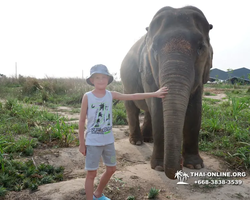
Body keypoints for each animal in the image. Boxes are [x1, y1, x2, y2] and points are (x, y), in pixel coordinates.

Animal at [119, 5, 213, 180]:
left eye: (200, 47)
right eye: (154, 47)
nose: (180, 165)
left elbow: (196, 109)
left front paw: (195, 165)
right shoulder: (147, 69)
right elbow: (158, 108)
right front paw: (159, 167)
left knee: (148, 111)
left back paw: (148, 139)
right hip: (126, 85)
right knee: (132, 108)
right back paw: (137, 142)